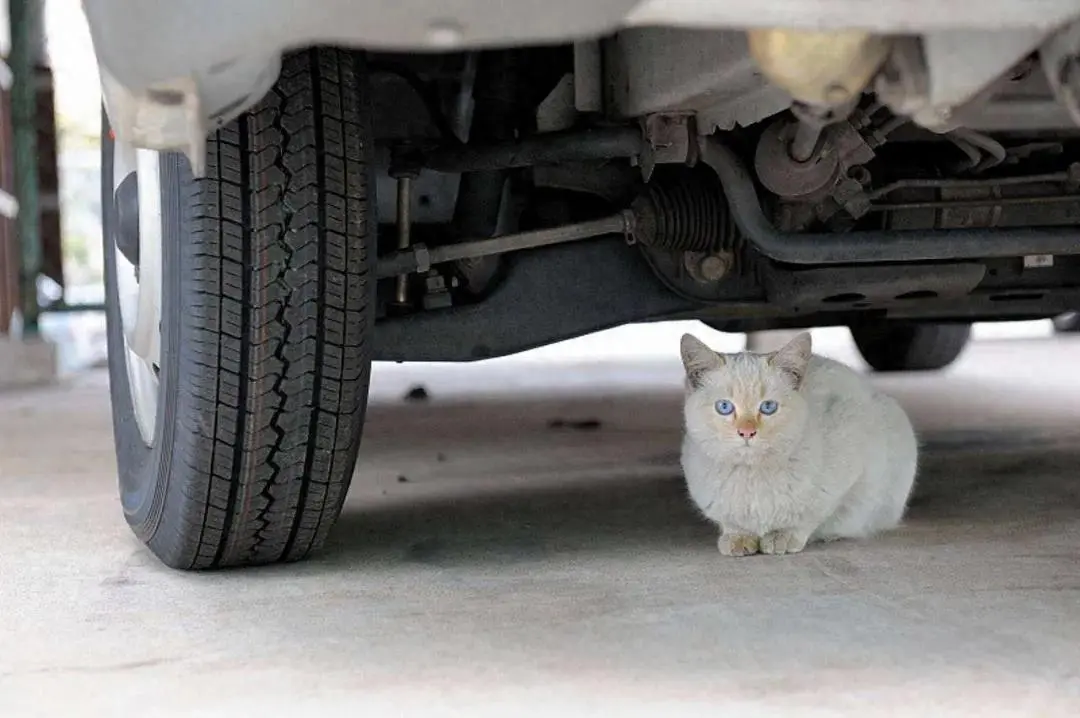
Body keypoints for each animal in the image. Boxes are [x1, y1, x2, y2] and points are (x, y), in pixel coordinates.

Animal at [678, 330, 915, 552]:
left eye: (768, 407)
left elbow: (807, 517)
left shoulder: (847, 471)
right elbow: (733, 524)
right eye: (724, 407)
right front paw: (739, 538)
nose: (746, 432)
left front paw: (782, 537)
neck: (751, 474)